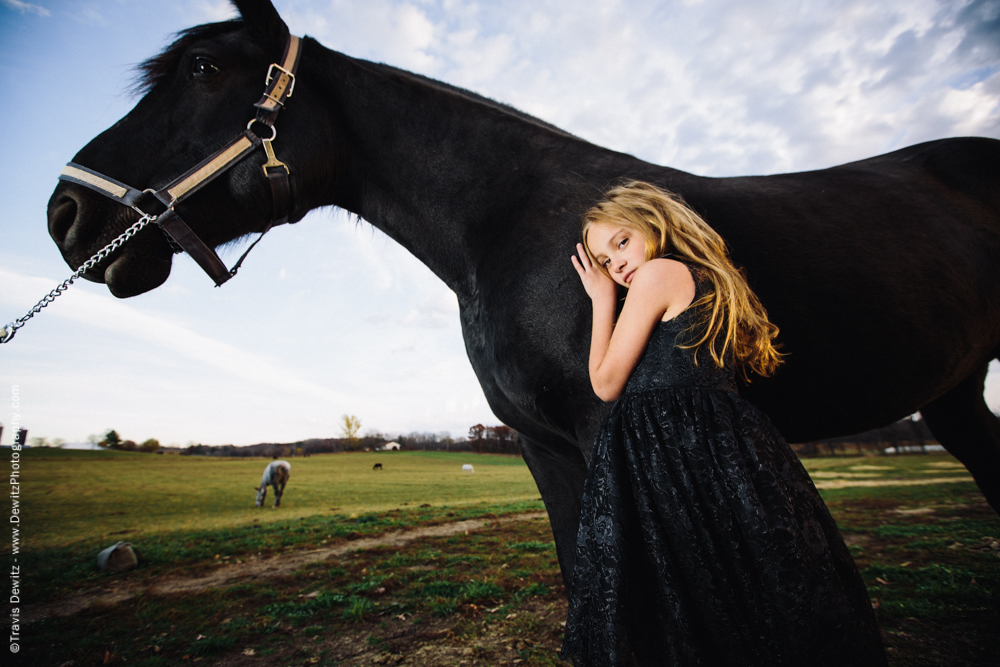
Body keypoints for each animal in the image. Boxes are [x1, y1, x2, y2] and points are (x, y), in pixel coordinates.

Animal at [47, 0, 1000, 584]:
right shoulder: (546, 448)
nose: (64, 212)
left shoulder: (607, 431)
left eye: (205, 69)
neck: (510, 222)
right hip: (953, 393)